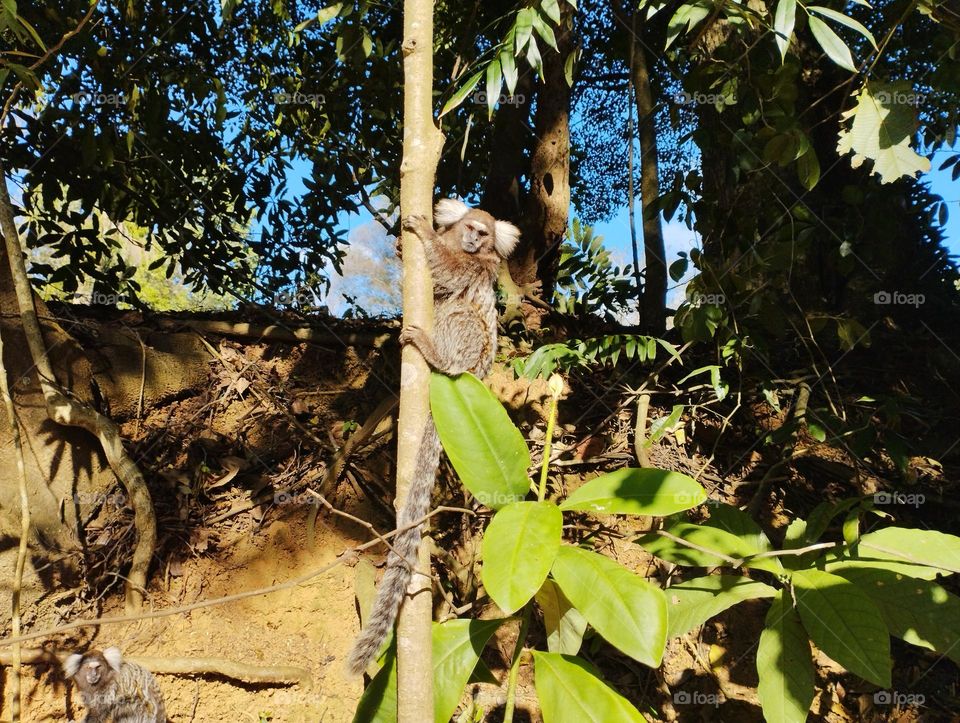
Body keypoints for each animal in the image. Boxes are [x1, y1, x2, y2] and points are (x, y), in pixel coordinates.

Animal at [346, 198, 520, 675]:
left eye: (484, 234)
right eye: (470, 227)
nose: (474, 239)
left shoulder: (478, 269)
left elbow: (450, 276)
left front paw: (423, 236)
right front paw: (400, 244)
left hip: (470, 360)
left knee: (462, 318)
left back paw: (435, 354)